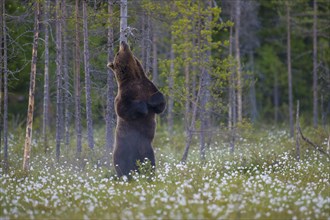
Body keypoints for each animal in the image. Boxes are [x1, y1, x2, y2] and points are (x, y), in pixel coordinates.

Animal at [107, 41, 166, 178]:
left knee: (150, 163)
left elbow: (160, 103)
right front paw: (143, 106)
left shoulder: (149, 86)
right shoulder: (124, 94)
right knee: (121, 164)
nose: (123, 42)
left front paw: (152, 102)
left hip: (148, 150)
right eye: (117, 53)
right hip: (122, 149)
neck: (135, 77)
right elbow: (122, 108)